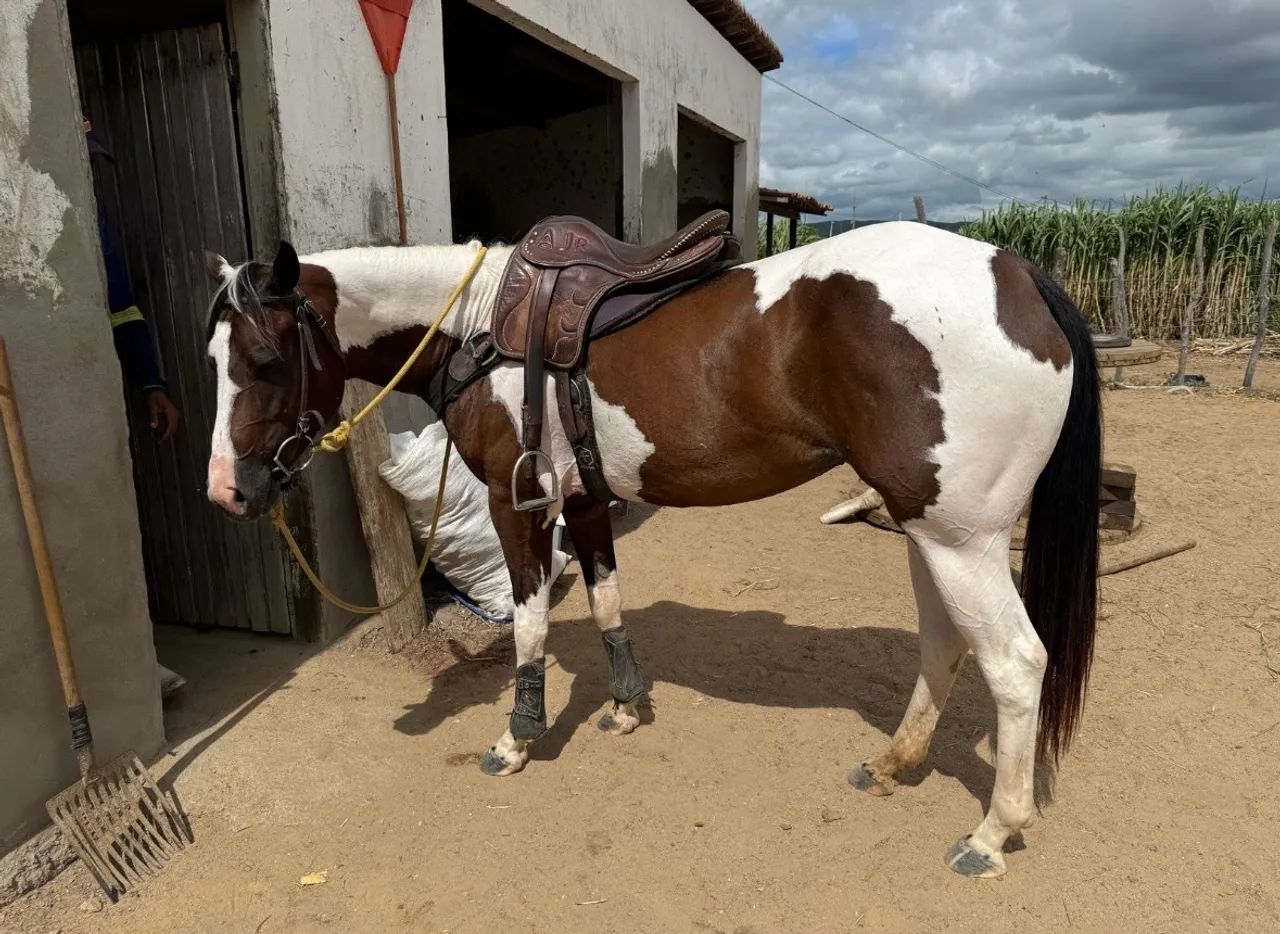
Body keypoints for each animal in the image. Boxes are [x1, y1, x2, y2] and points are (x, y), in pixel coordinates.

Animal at [203, 220, 1100, 878]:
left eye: (265, 360)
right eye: (212, 359)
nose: (226, 492)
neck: (478, 328)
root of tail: (1018, 274)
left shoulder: (516, 505)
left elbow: (529, 622)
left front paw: (517, 737)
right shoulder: (584, 499)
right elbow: (606, 598)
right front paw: (626, 708)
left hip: (961, 540)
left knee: (1016, 663)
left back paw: (991, 835)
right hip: (929, 531)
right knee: (946, 644)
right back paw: (892, 764)